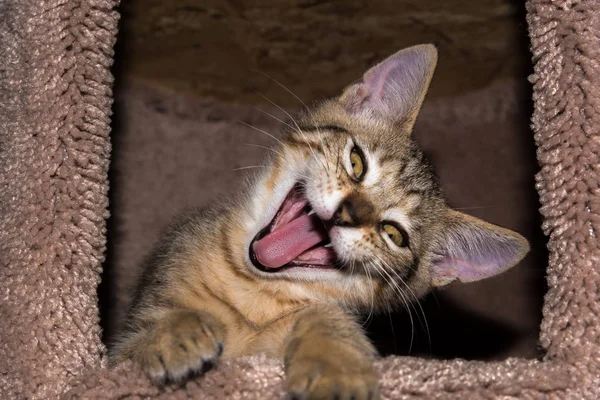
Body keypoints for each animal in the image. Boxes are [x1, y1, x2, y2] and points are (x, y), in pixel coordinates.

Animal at [109, 44, 528, 400]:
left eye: (394, 234)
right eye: (356, 162)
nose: (349, 212)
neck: (251, 289)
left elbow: (325, 314)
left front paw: (335, 364)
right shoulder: (120, 345)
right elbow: (139, 335)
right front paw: (173, 331)